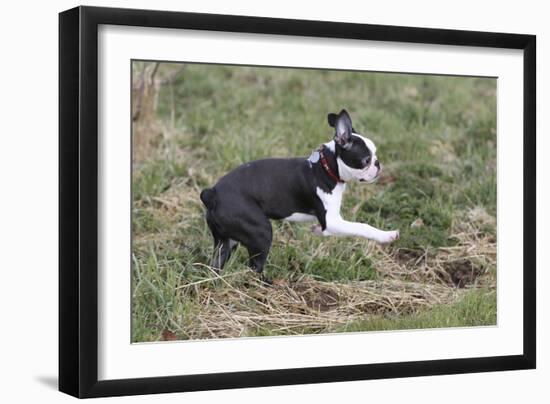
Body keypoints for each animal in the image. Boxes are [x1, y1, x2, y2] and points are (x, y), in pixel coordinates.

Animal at [201, 108, 398, 278]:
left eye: (375, 156)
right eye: (366, 160)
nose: (378, 164)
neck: (325, 167)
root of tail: (213, 194)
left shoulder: (329, 222)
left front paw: (316, 230)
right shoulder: (332, 221)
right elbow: (362, 227)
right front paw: (387, 235)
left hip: (226, 241)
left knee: (216, 263)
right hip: (261, 231)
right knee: (255, 267)